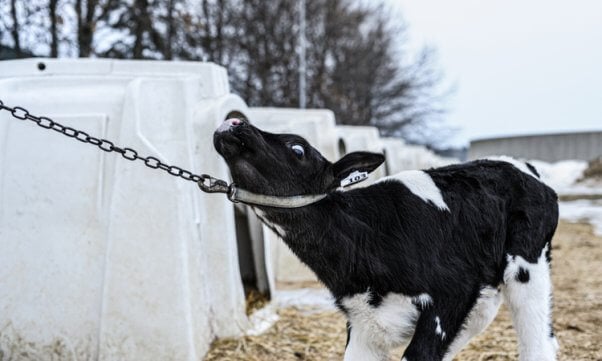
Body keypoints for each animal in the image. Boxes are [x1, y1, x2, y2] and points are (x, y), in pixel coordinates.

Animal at [212, 118, 556, 360]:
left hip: (527, 268)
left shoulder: (452, 291)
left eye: (297, 148)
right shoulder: (364, 321)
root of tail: (522, 166)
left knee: (539, 341)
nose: (234, 122)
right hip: (485, 293)